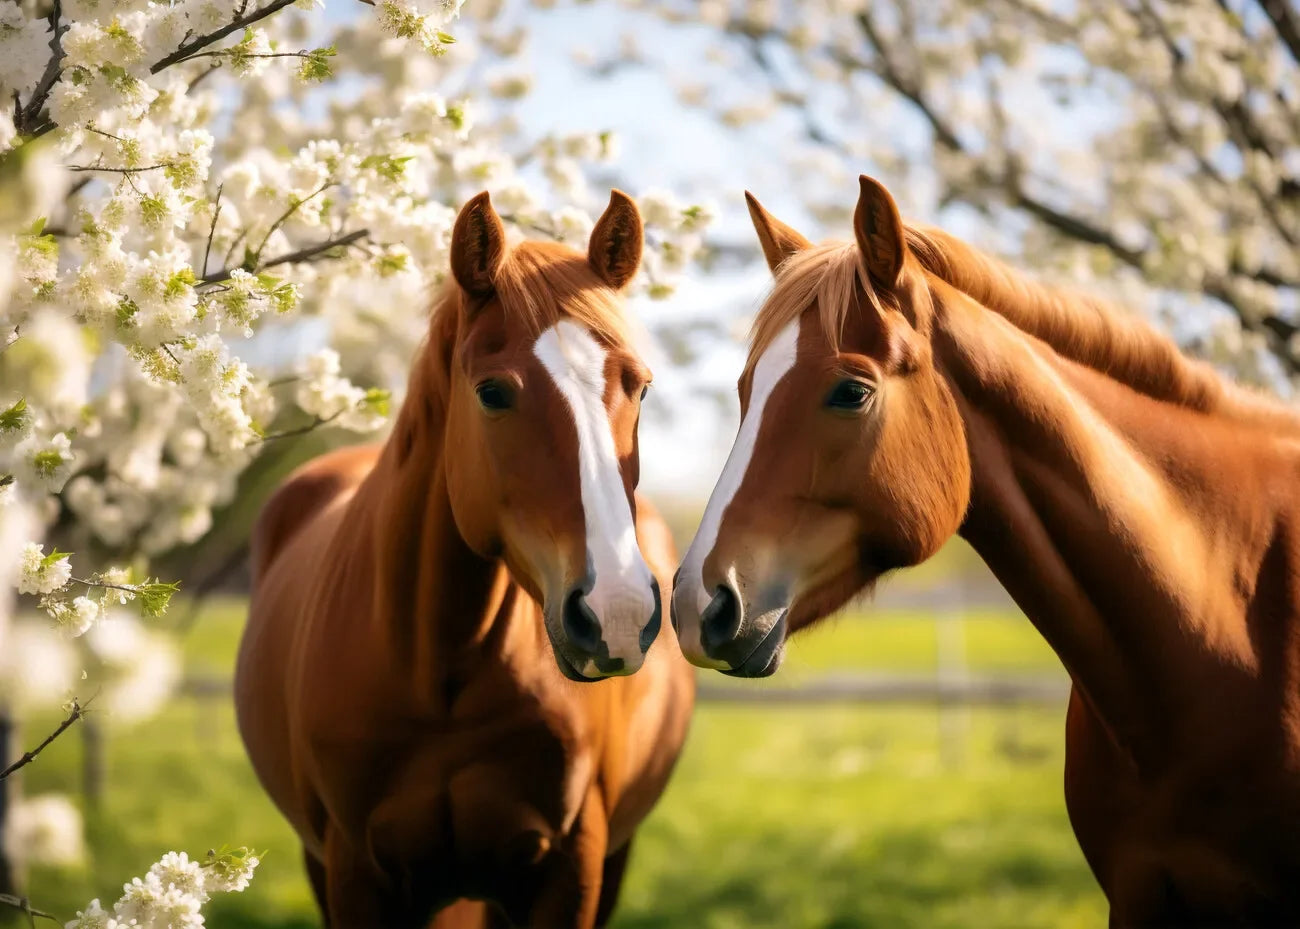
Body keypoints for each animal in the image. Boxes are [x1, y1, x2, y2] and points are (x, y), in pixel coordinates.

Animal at [235, 190, 695, 929]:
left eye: (641, 387)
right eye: (492, 392)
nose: (616, 612)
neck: (439, 668)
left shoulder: (573, 868)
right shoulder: (354, 871)